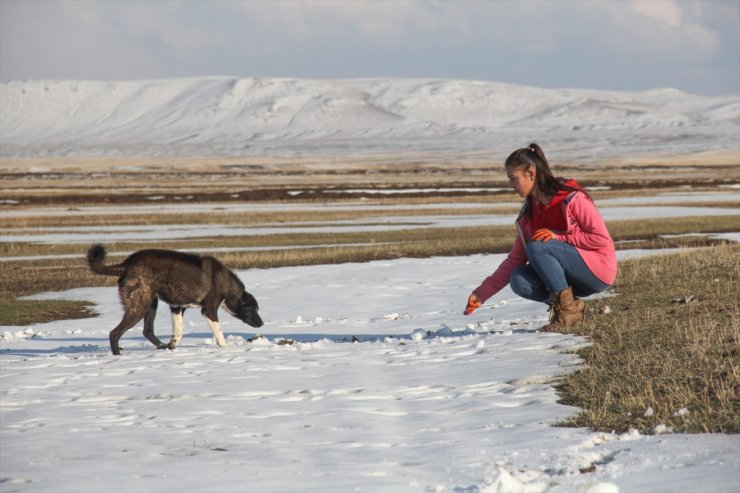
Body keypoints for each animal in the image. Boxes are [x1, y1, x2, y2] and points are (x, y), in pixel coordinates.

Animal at [86, 245, 264, 354]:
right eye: (253, 309)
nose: (261, 323)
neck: (227, 285)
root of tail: (127, 263)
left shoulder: (177, 307)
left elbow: (178, 332)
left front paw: (172, 347)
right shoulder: (209, 309)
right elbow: (219, 332)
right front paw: (226, 347)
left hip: (152, 303)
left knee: (147, 331)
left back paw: (162, 346)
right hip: (140, 305)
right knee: (114, 333)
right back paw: (117, 355)